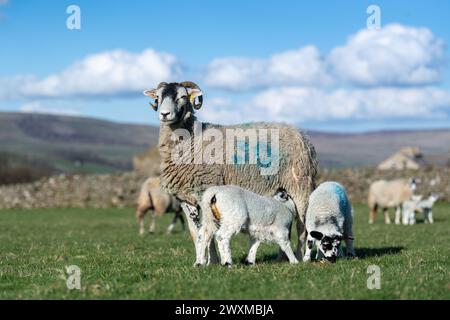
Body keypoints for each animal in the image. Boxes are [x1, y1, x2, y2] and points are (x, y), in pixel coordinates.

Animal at [143, 81, 316, 262]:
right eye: (158, 97)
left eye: (182, 96)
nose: (164, 114)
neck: (192, 141)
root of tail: (302, 135)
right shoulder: (184, 199)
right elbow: (195, 233)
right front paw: (203, 260)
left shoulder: (205, 190)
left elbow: (208, 231)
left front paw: (211, 261)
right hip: (281, 190)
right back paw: (281, 258)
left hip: (300, 184)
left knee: (302, 226)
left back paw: (301, 257)